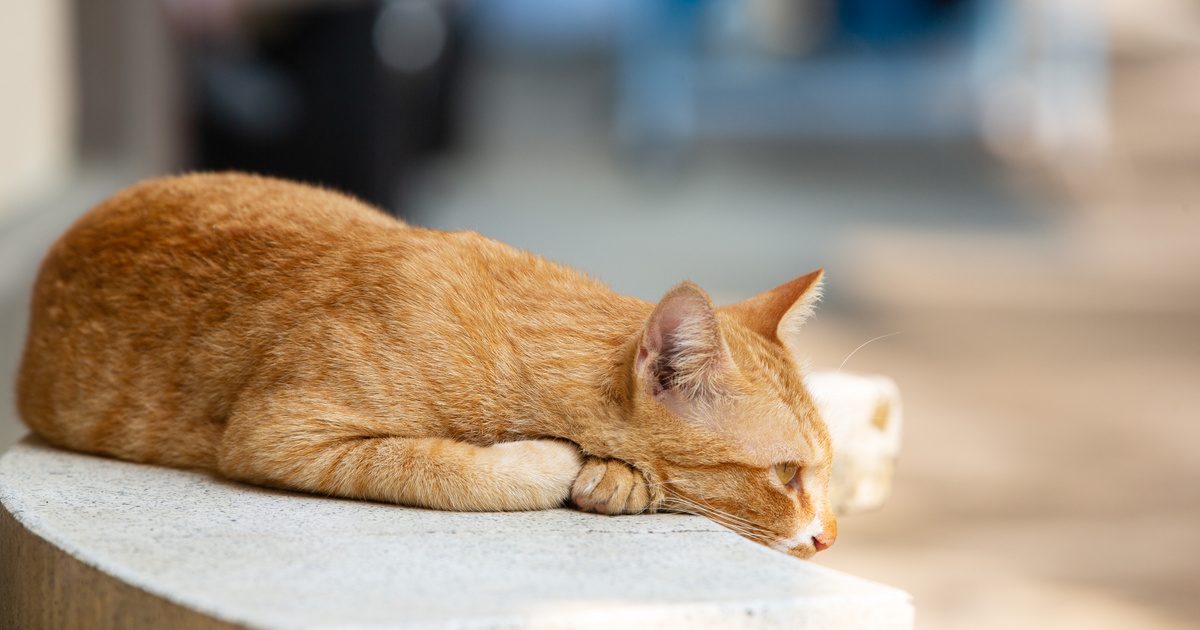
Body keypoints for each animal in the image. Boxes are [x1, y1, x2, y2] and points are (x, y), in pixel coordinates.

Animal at [14, 170, 840, 554]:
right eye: (786, 475)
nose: (829, 537)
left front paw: (618, 479)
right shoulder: (279, 432)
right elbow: (437, 464)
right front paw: (559, 465)